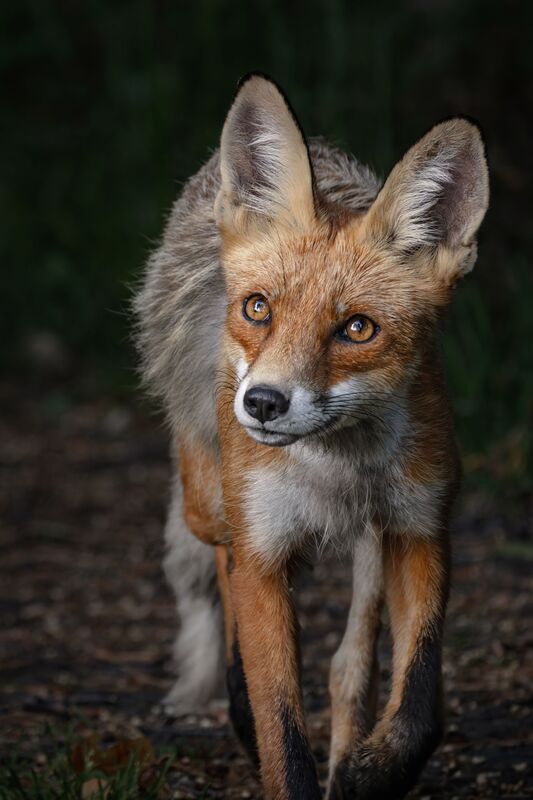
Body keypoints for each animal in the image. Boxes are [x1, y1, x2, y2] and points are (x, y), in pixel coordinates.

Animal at [134, 73, 489, 799]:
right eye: (258, 309)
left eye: (357, 329)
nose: (263, 404)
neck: (337, 468)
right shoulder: (263, 552)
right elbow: (279, 723)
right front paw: (271, 738)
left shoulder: (420, 530)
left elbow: (417, 701)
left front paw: (373, 770)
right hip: (210, 505)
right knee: (221, 581)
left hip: (372, 544)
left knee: (349, 663)